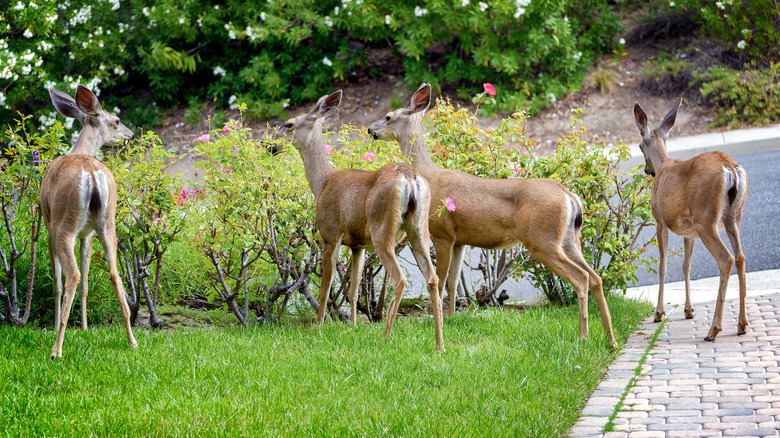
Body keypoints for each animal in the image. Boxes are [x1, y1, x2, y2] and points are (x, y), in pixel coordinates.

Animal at [42, 85, 138, 360]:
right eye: (116, 120)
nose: (131, 133)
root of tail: (92, 173)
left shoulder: (48, 226)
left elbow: (57, 282)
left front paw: (55, 325)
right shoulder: (87, 234)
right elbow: (86, 282)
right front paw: (84, 327)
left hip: (64, 225)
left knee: (71, 276)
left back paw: (56, 349)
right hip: (107, 224)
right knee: (114, 274)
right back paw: (132, 340)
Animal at [278, 91, 444, 352]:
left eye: (289, 124)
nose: (270, 144)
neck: (322, 183)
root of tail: (409, 177)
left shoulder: (330, 233)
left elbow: (325, 287)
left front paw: (318, 326)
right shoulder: (358, 245)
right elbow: (354, 289)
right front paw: (354, 326)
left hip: (381, 228)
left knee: (399, 278)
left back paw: (385, 338)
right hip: (419, 229)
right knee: (433, 278)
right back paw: (439, 345)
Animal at [368, 83, 620, 350]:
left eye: (388, 116)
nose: (370, 129)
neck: (429, 174)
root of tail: (570, 196)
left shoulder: (443, 233)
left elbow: (442, 278)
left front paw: (440, 322)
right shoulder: (460, 240)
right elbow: (453, 281)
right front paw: (452, 318)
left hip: (542, 240)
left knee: (581, 277)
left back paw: (583, 337)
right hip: (570, 238)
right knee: (596, 277)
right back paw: (611, 340)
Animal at [632, 100, 748, 342]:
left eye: (639, 146)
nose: (648, 171)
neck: (663, 165)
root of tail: (731, 169)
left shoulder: (660, 220)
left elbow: (663, 265)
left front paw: (658, 312)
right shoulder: (690, 231)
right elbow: (687, 265)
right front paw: (688, 310)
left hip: (706, 219)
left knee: (726, 259)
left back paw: (713, 330)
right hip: (733, 217)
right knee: (741, 257)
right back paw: (742, 325)